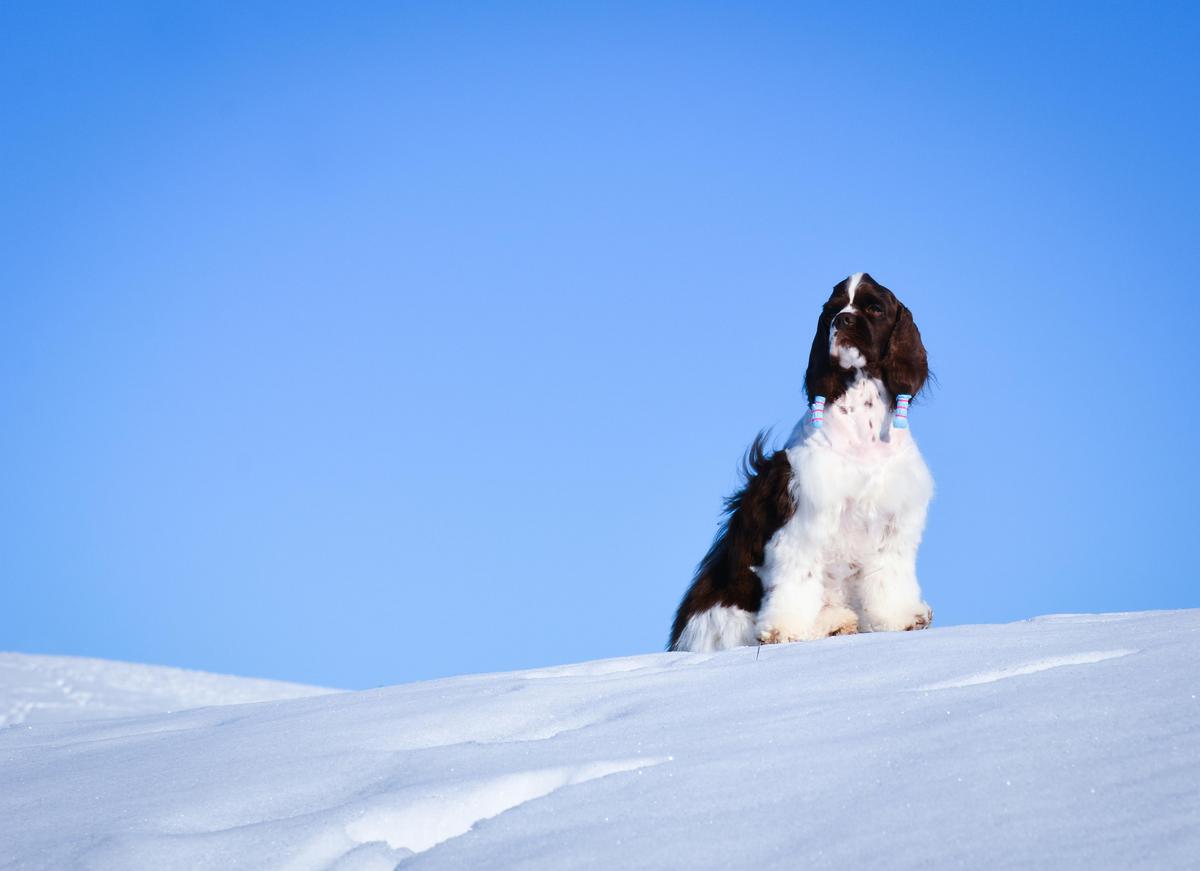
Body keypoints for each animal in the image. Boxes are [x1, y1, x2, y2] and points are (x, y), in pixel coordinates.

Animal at [669, 272, 933, 651]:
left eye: (874, 308)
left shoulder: (893, 519)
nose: (843, 321)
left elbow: (889, 576)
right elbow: (797, 577)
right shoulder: (803, 518)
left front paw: (900, 619)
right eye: (833, 309)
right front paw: (783, 631)